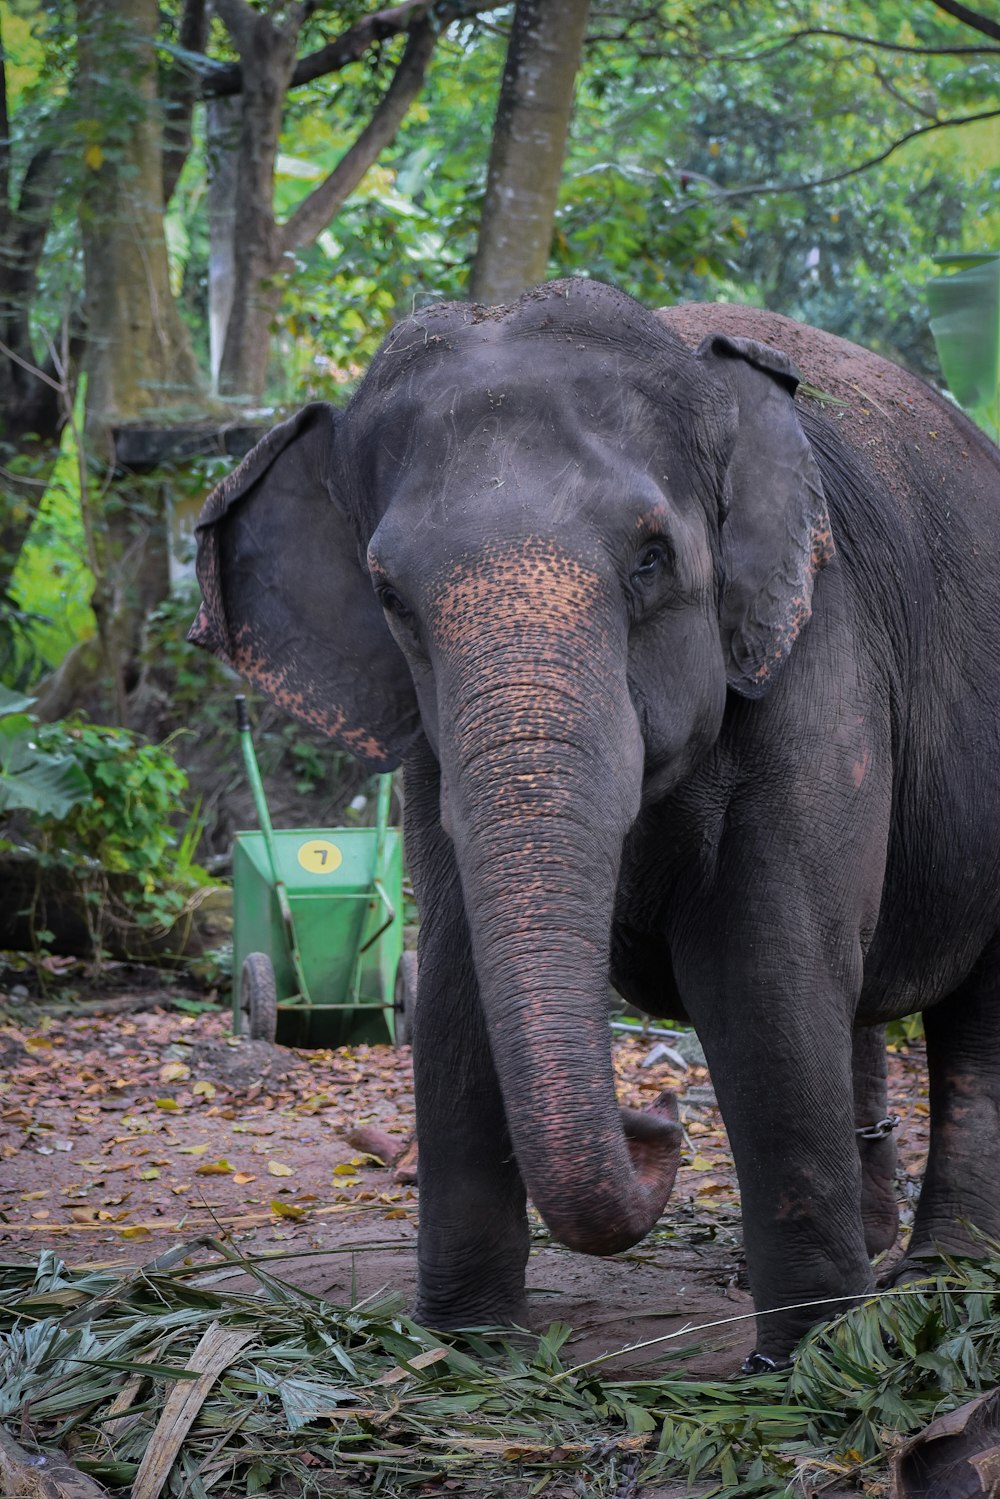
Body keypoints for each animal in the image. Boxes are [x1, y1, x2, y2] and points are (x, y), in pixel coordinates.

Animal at [189, 278, 1000, 1373]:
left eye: (652, 558)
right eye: (390, 596)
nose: (654, 1117)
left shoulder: (820, 653)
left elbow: (765, 964)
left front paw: (809, 1363)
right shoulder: (432, 751)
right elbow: (455, 979)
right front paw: (467, 1344)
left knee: (971, 1015)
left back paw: (938, 1275)